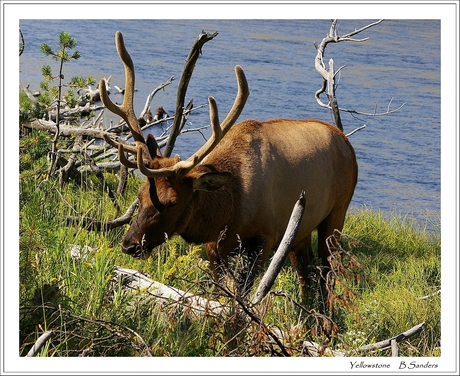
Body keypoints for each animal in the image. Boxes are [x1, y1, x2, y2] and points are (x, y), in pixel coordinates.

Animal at [99, 30, 360, 298]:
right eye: (140, 195)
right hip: (303, 229)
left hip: (337, 213)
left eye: (173, 202)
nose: (129, 244)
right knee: (306, 276)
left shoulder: (266, 237)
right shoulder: (215, 245)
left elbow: (241, 294)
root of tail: (346, 143)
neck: (230, 210)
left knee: (327, 274)